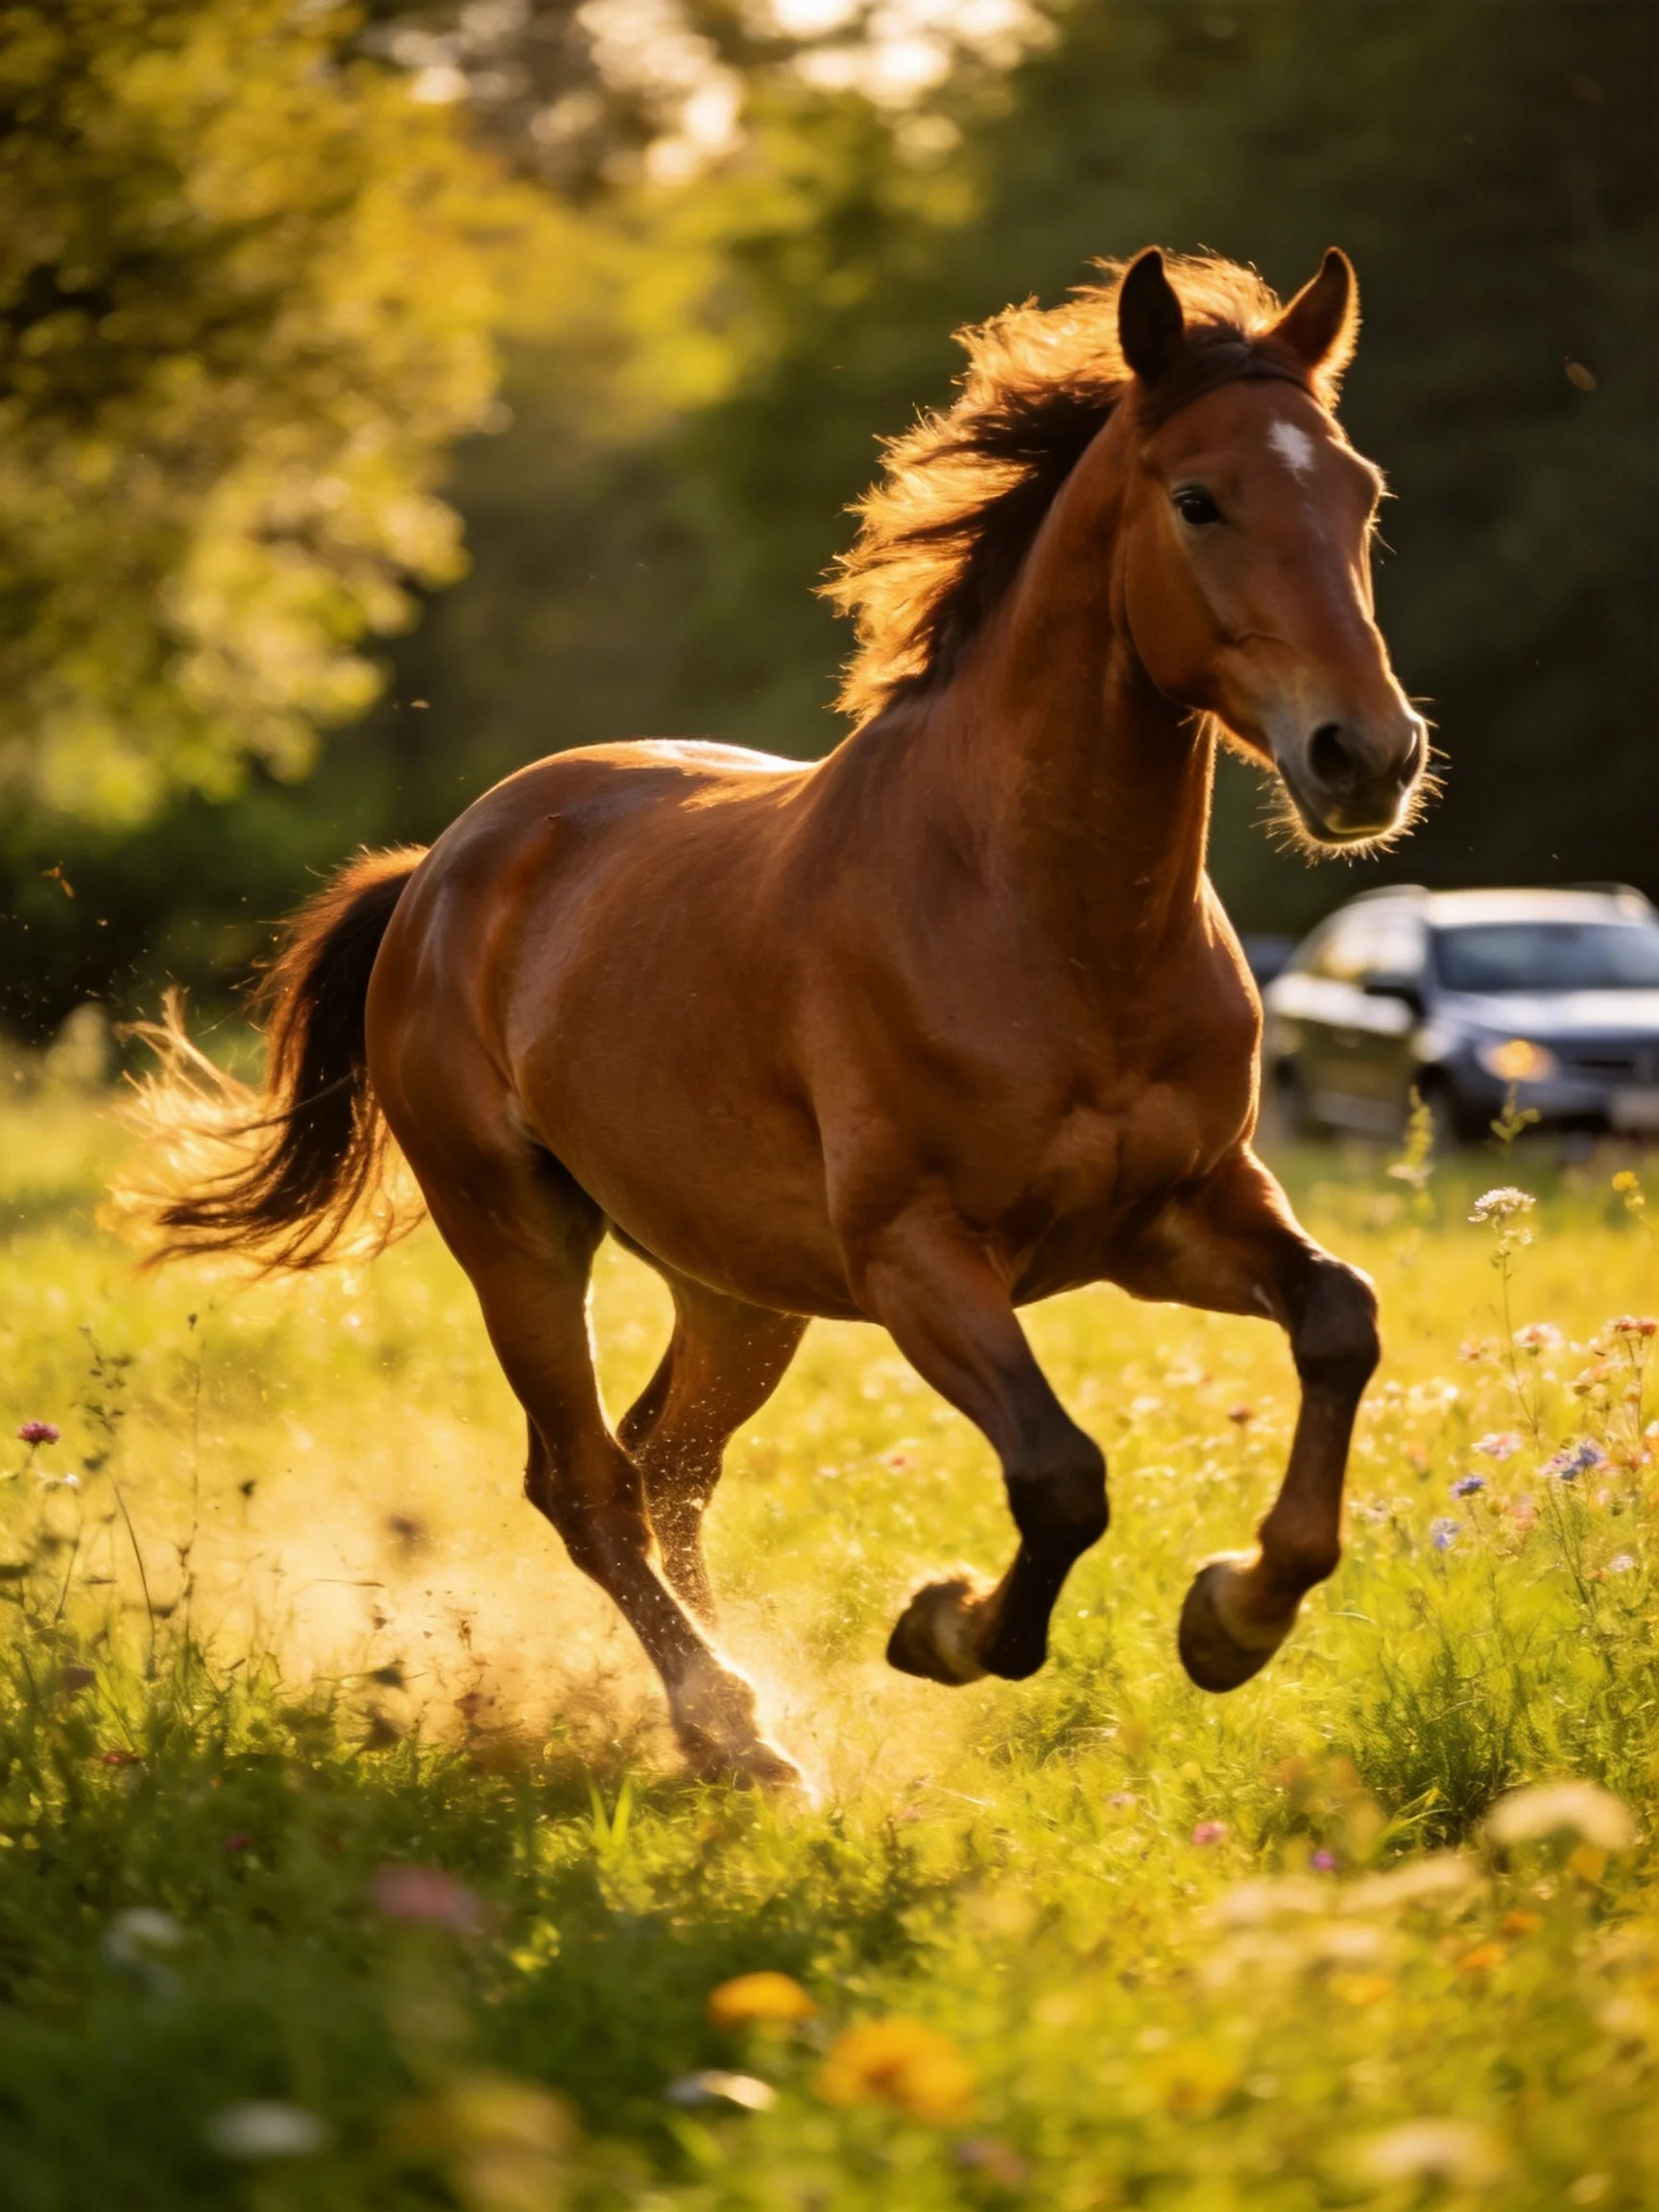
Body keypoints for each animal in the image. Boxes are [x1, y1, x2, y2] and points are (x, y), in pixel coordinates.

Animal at [140, 247, 1427, 1790]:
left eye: (1360, 493)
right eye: (1199, 499)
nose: (1367, 755)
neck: (1046, 922)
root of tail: (443, 866)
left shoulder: (1176, 1214)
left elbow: (1339, 1320)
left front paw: (1234, 1615)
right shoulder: (918, 1254)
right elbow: (1061, 1475)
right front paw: (945, 1628)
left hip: (739, 1287)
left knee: (666, 1464)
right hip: (516, 1234)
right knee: (589, 1479)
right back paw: (735, 1731)